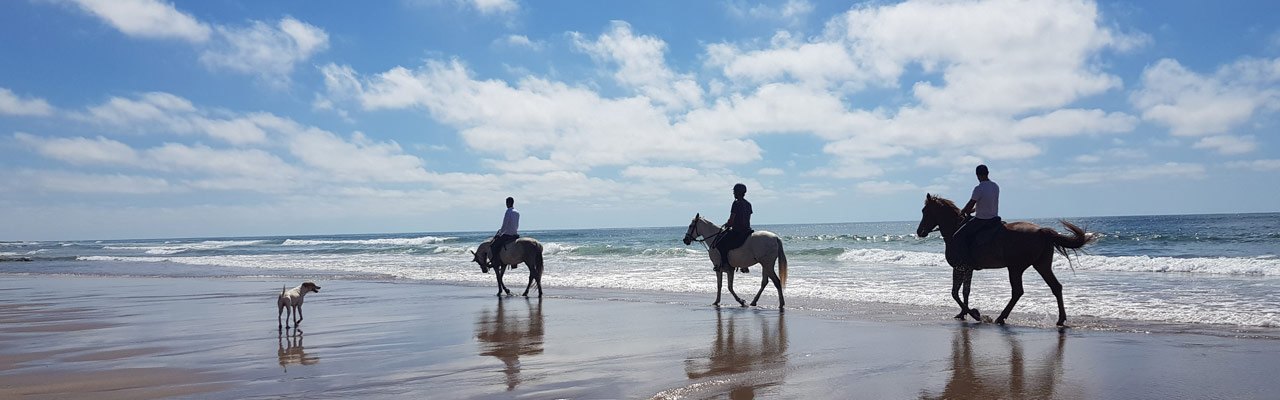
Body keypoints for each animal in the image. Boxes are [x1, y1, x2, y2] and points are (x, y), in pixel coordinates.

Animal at [916, 193, 1095, 325]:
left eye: (925, 211)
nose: (919, 232)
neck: (955, 230)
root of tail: (1041, 231)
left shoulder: (960, 267)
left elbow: (955, 293)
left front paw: (975, 314)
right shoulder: (966, 268)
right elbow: (965, 292)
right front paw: (963, 313)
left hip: (1015, 268)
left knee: (1018, 291)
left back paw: (1001, 317)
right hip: (1041, 265)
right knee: (1056, 287)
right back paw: (1060, 319)